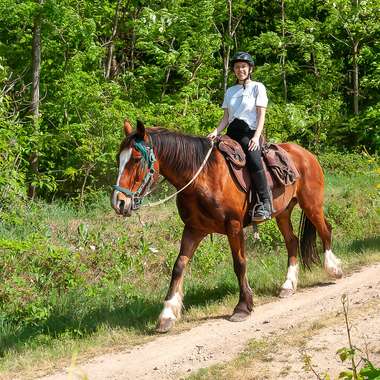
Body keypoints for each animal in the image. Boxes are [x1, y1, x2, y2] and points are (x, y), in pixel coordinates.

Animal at [110, 119, 344, 332]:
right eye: (118, 159)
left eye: (136, 159)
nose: (118, 202)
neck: (203, 177)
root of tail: (306, 154)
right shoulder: (193, 229)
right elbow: (178, 267)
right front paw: (167, 315)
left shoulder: (234, 226)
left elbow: (239, 264)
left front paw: (243, 307)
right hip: (283, 213)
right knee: (292, 241)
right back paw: (288, 285)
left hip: (312, 204)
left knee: (326, 231)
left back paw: (334, 269)